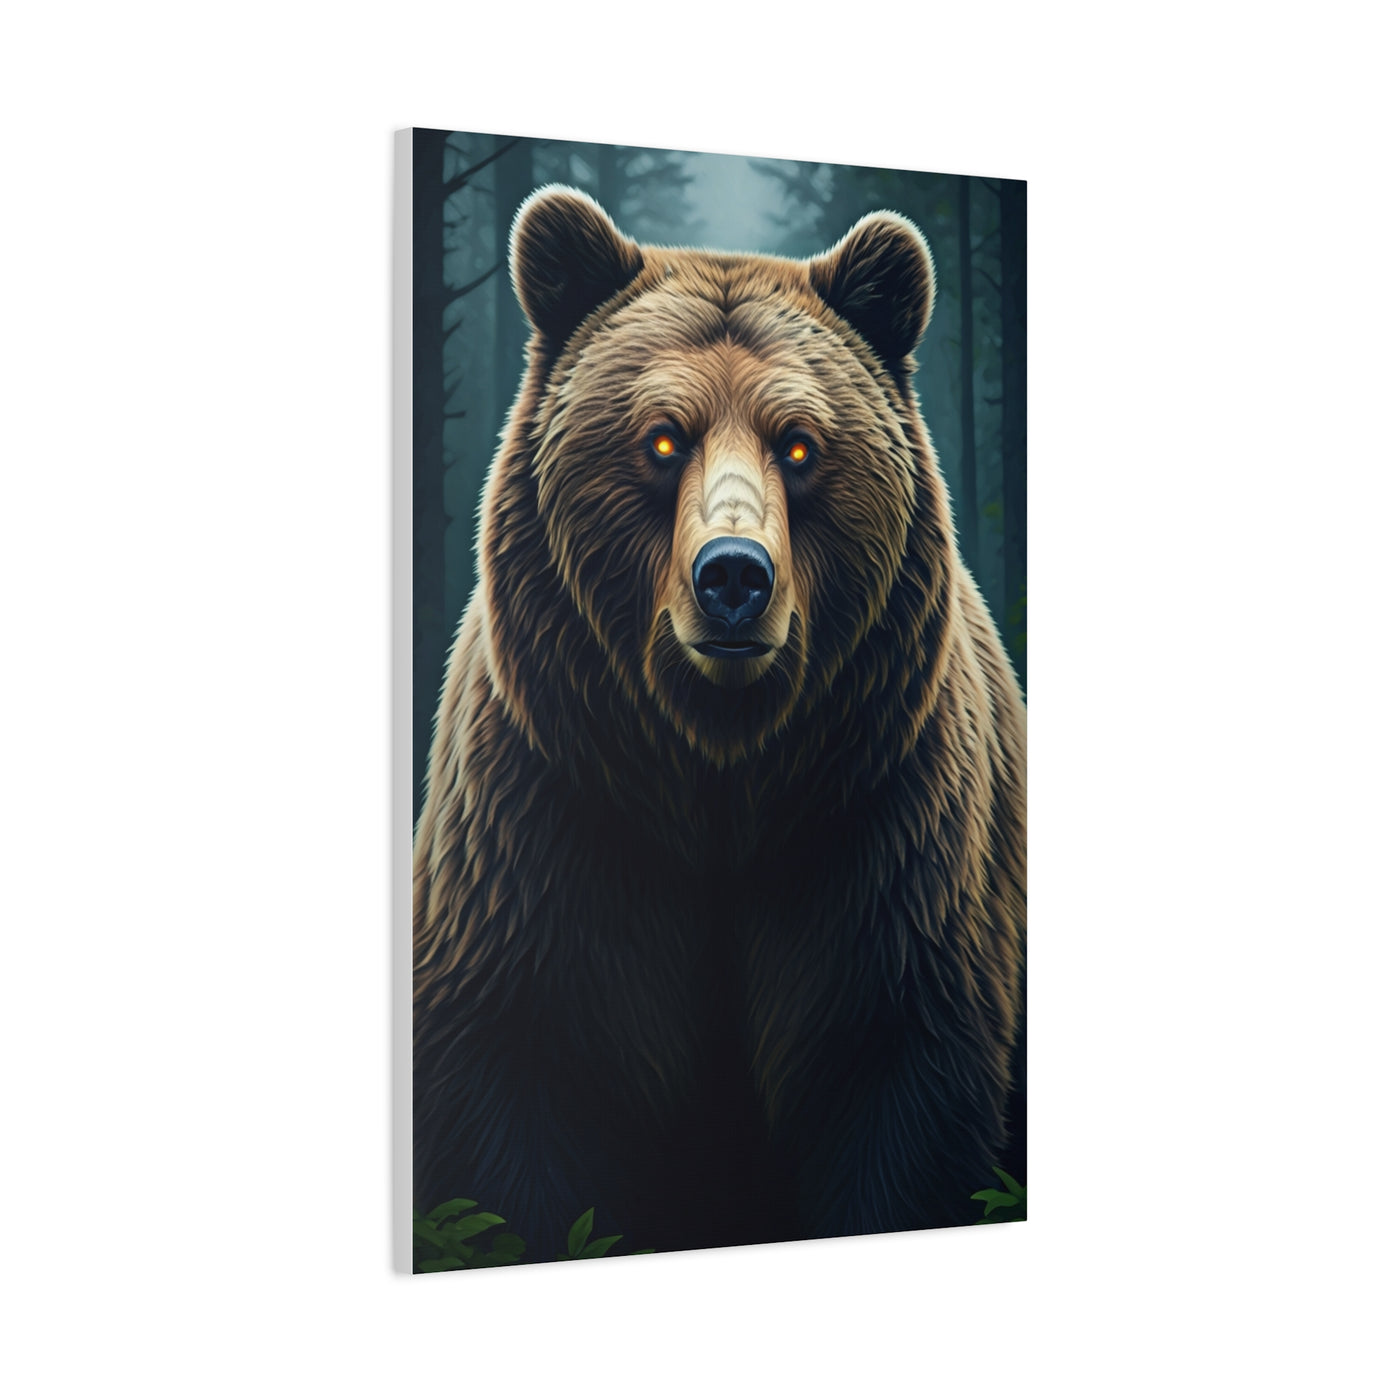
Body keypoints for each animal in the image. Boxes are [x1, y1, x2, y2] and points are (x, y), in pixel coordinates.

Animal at [413, 185, 1027, 1257]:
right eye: (663, 438)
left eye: (800, 444)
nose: (734, 576)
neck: (721, 777)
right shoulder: (543, 836)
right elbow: (513, 1107)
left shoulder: (888, 852)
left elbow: (901, 1100)